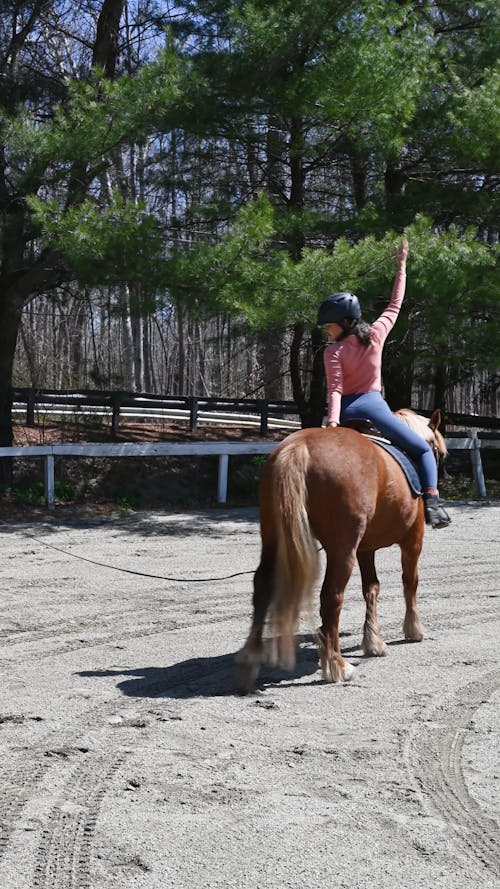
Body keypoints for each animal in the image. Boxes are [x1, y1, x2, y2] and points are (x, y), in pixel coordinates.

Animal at [234, 410, 446, 692]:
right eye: (438, 452)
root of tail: (300, 446)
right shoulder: (413, 539)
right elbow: (410, 582)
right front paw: (413, 629)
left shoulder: (365, 549)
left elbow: (372, 588)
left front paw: (373, 641)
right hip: (342, 550)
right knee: (331, 597)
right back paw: (336, 665)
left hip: (272, 538)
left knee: (262, 587)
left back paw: (250, 661)